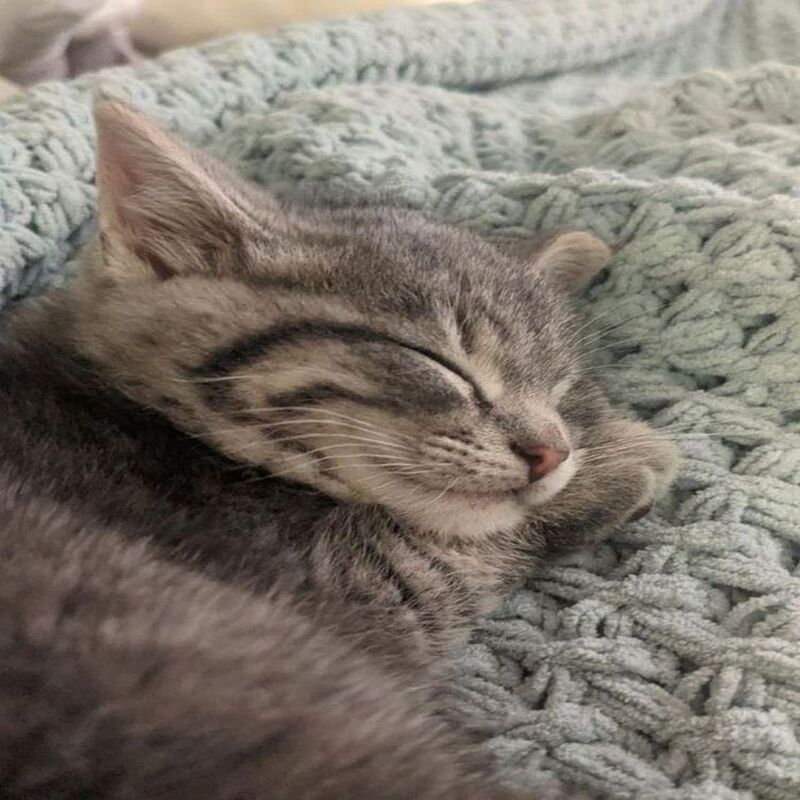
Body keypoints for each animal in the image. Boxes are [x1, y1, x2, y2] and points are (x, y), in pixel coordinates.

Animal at [0, 101, 680, 800]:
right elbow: (454, 546)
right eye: (438, 361)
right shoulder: (364, 585)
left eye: (562, 391)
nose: (552, 452)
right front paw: (625, 462)